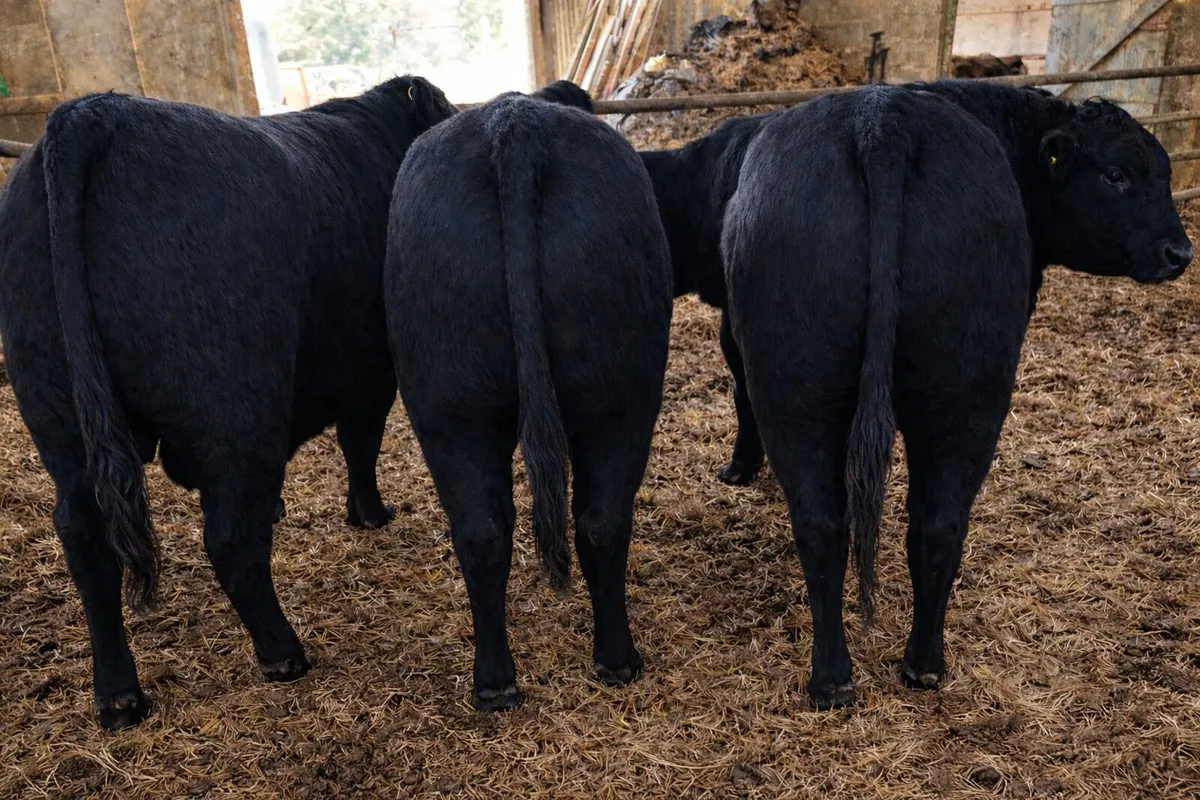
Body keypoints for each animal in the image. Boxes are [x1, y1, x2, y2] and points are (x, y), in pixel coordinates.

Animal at [0, 76, 457, 729]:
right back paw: (282, 653)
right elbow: (360, 442)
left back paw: (119, 696)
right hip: (236, 408)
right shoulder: (370, 368)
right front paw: (369, 514)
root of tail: (92, 113)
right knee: (229, 537)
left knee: (86, 540)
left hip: (60, 422)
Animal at [386, 83, 673, 711]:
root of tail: (512, 121)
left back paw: (514, 680)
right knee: (579, 521)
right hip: (609, 393)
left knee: (506, 528)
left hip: (454, 402)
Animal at [722, 82, 1192, 709]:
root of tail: (882, 120)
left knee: (846, 524)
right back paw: (907, 667)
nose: (1180, 254)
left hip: (814, 389)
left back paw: (853, 677)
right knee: (927, 523)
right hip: (963, 394)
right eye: (1115, 174)